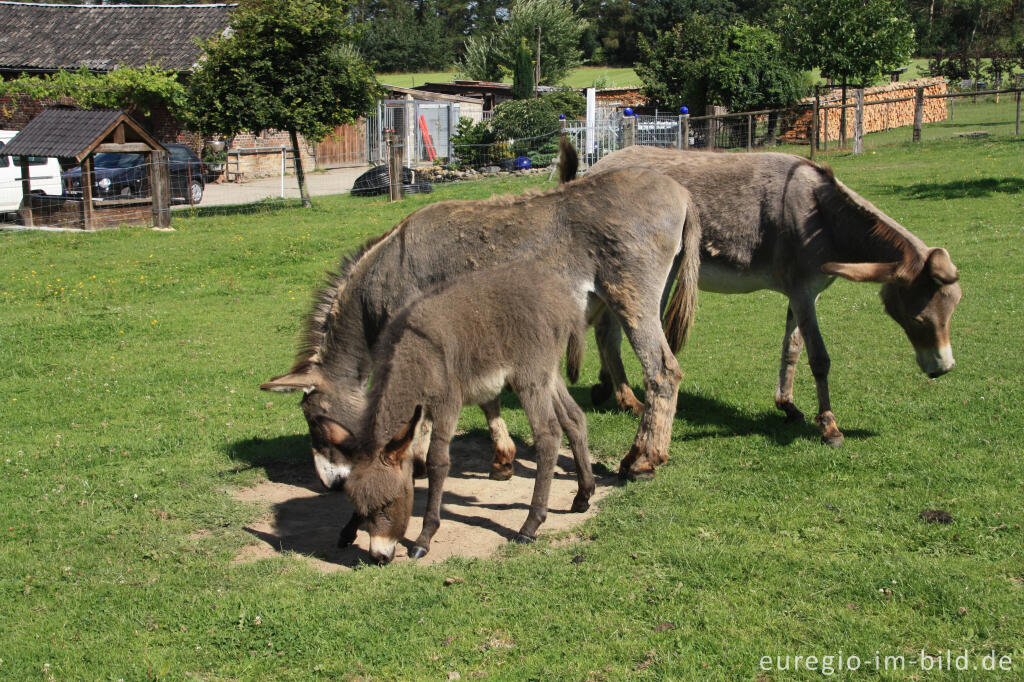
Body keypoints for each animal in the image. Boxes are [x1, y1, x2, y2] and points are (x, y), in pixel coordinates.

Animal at [337, 260, 593, 561]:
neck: (415, 354)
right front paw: (347, 529)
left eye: (390, 502)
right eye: (361, 506)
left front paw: (424, 537)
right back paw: (584, 495)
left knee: (548, 435)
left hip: (529, 378)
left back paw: (530, 525)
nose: (378, 557)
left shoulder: (447, 402)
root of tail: (564, 300)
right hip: (548, 374)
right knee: (574, 419)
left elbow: (438, 461)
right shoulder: (422, 411)